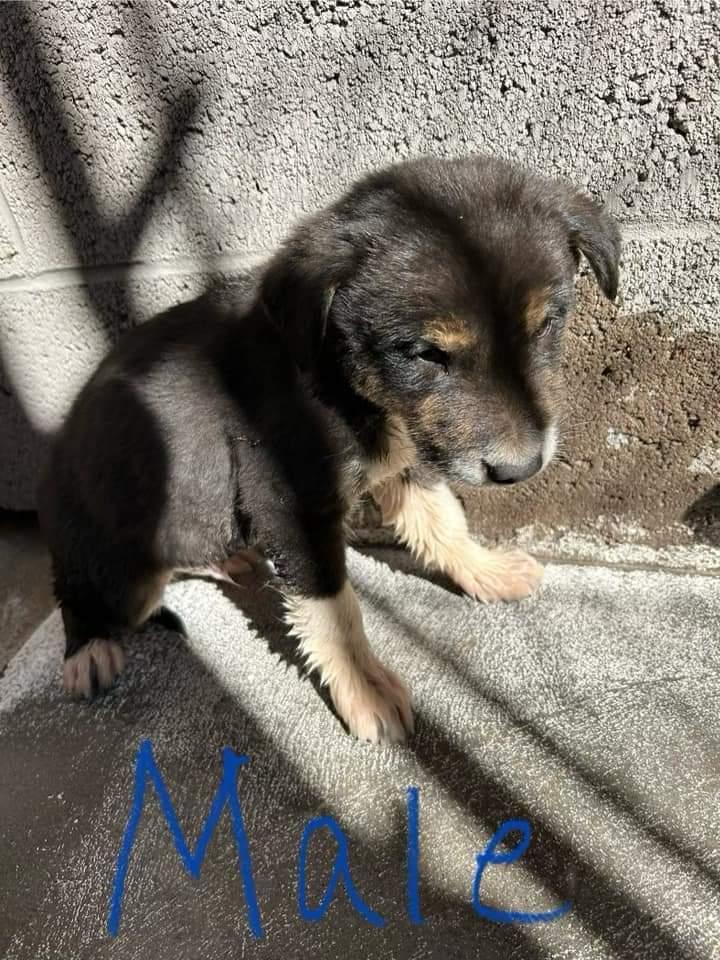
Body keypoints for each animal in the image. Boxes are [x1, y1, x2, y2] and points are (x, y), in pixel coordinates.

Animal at [39, 156, 620, 744]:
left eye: (545, 325)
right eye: (427, 353)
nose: (521, 468)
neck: (343, 384)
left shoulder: (410, 460)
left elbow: (444, 524)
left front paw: (486, 571)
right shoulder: (287, 502)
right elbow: (333, 608)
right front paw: (365, 686)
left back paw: (227, 560)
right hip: (116, 562)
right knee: (79, 592)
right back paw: (88, 650)